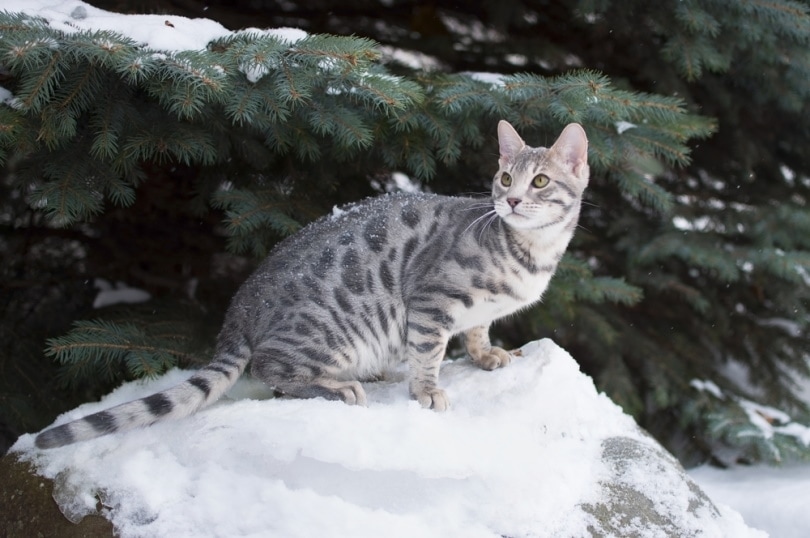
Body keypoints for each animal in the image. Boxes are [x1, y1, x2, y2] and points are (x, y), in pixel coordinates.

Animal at [34, 119, 588, 446]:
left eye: (539, 181)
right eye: (504, 177)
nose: (511, 200)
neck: (530, 253)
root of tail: (239, 306)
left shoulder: (473, 313)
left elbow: (476, 330)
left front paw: (488, 353)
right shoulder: (431, 301)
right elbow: (430, 352)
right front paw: (429, 389)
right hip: (333, 332)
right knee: (271, 369)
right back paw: (341, 387)